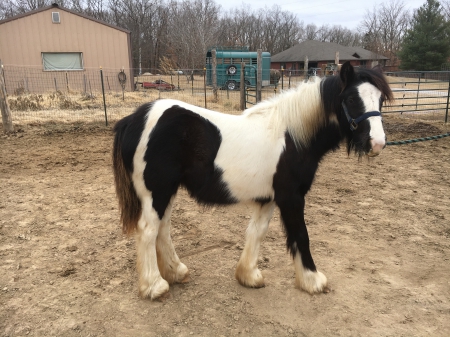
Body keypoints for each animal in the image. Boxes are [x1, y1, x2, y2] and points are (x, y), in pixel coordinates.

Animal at [113, 61, 394, 298]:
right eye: (351, 99)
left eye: (380, 99)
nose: (377, 143)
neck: (292, 136)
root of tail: (133, 120)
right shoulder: (291, 197)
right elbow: (301, 235)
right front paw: (312, 280)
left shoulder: (267, 197)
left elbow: (257, 232)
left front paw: (248, 275)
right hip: (156, 192)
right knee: (148, 230)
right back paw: (154, 286)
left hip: (167, 191)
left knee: (163, 229)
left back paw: (176, 272)